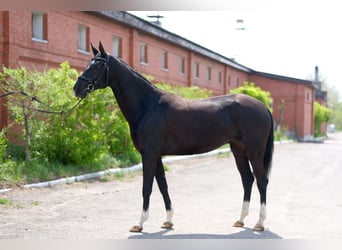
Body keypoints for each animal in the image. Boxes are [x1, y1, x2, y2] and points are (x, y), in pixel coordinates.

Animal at [73, 41, 274, 232]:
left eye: (98, 66)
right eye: (88, 63)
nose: (77, 88)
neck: (149, 106)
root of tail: (263, 107)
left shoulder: (150, 154)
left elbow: (147, 187)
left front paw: (139, 223)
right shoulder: (156, 156)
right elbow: (163, 185)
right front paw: (168, 221)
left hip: (254, 151)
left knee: (262, 180)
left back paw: (259, 223)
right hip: (238, 149)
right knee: (247, 179)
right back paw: (241, 220)